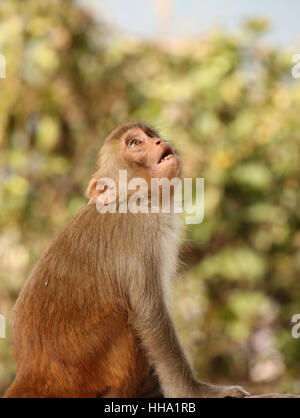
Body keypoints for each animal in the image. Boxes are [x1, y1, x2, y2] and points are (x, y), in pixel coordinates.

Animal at [3, 121, 248, 398]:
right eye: (135, 143)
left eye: (150, 136)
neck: (135, 198)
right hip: (91, 374)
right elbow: (149, 312)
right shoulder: (140, 231)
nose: (158, 142)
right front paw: (198, 391)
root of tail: (32, 376)